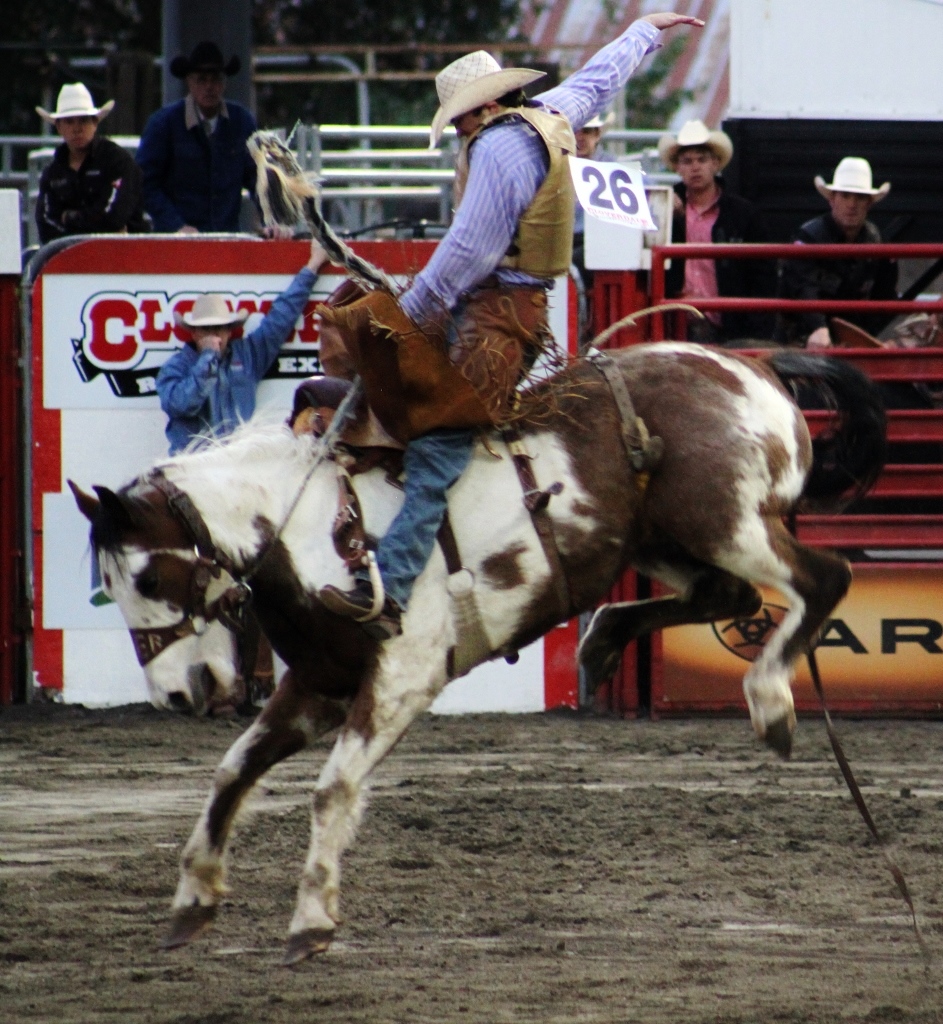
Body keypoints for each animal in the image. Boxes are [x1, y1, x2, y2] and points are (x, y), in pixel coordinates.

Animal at [71, 341, 885, 964]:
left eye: (146, 576)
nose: (176, 694)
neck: (316, 533)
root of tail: (751, 368)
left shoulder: (401, 678)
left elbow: (332, 789)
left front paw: (311, 923)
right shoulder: (318, 684)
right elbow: (233, 772)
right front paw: (193, 901)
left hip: (726, 523)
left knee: (823, 580)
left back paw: (770, 702)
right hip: (664, 538)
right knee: (729, 598)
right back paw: (603, 641)